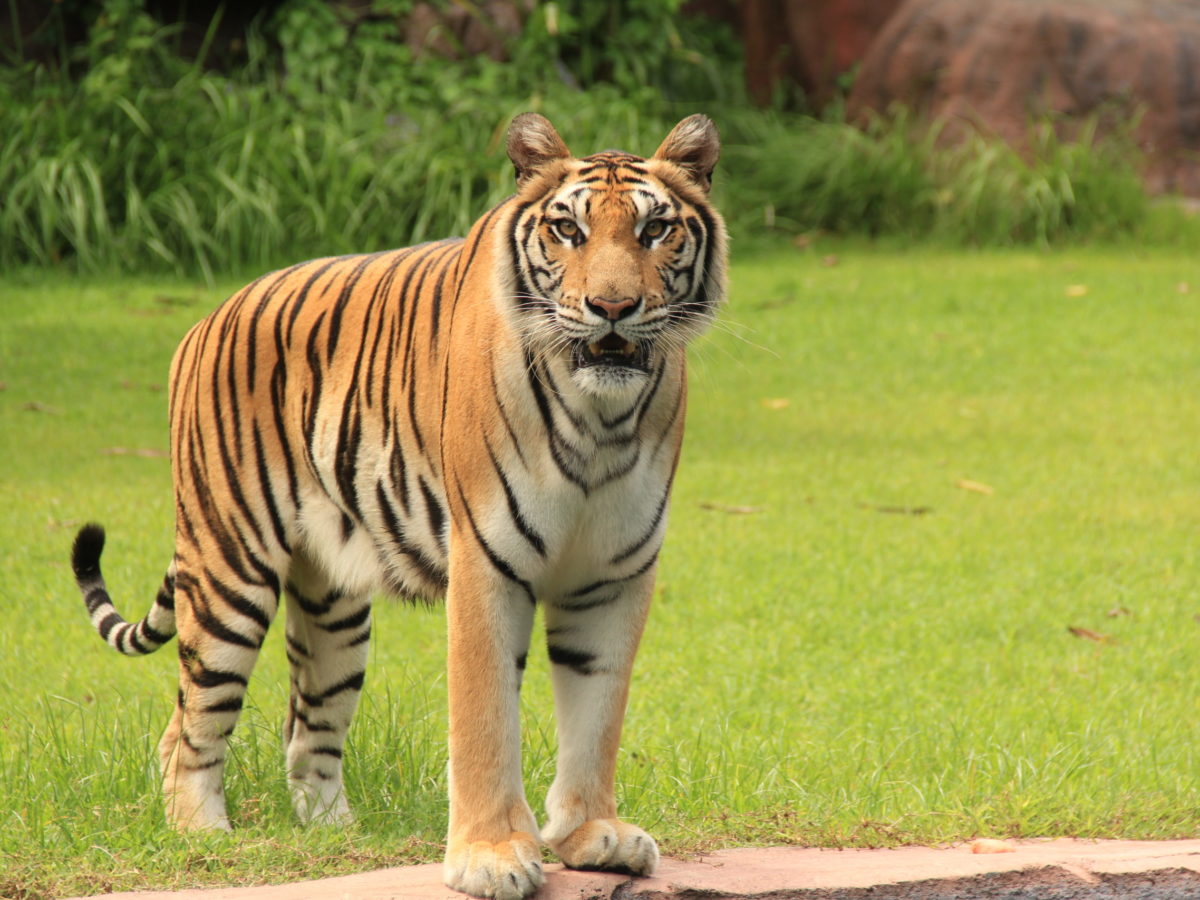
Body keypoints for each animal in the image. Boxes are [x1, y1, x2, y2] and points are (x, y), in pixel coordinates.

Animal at [77, 112, 729, 900]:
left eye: (655, 229)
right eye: (567, 231)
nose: (612, 308)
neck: (601, 418)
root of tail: (207, 320)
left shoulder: (613, 574)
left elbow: (598, 712)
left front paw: (591, 834)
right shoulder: (488, 564)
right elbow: (485, 719)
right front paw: (491, 855)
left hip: (334, 609)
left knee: (307, 728)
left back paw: (336, 834)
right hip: (229, 568)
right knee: (187, 727)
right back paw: (204, 835)